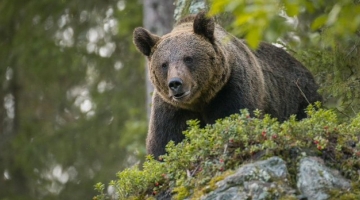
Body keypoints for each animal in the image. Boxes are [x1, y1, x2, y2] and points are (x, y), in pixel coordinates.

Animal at [133, 11, 324, 159]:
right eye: (164, 64)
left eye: (188, 58)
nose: (175, 83)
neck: (200, 101)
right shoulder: (171, 109)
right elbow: (165, 145)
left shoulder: (232, 89)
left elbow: (233, 120)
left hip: (300, 97)